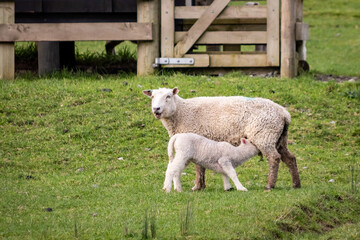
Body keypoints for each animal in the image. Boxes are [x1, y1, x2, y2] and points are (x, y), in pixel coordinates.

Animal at [143, 87, 300, 190]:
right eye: (152, 97)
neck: (182, 112)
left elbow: (198, 167)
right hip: (279, 138)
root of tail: (284, 113)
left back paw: (270, 185)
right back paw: (296, 184)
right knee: (290, 158)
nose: (156, 109)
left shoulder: (195, 137)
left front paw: (197, 186)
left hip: (264, 135)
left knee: (274, 158)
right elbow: (200, 166)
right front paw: (201, 185)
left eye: (168, 96)